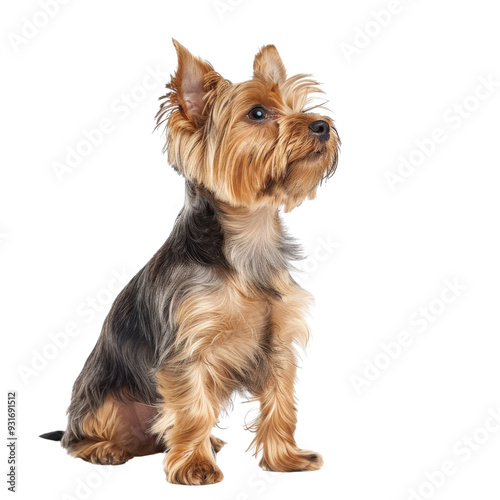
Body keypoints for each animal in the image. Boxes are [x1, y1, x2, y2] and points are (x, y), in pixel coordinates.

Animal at [41, 39, 340, 484]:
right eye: (257, 113)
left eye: (299, 105)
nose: (321, 125)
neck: (249, 238)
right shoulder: (188, 348)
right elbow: (193, 408)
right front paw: (195, 467)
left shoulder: (277, 344)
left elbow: (281, 403)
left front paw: (285, 458)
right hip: (103, 400)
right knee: (77, 438)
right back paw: (106, 449)